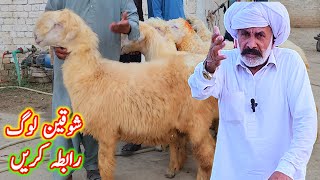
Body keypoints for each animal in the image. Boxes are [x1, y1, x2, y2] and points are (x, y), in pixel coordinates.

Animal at [33, 9, 216, 180]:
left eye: (58, 25)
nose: (35, 36)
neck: (93, 73)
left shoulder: (107, 130)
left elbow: (104, 164)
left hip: (197, 121)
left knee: (208, 154)